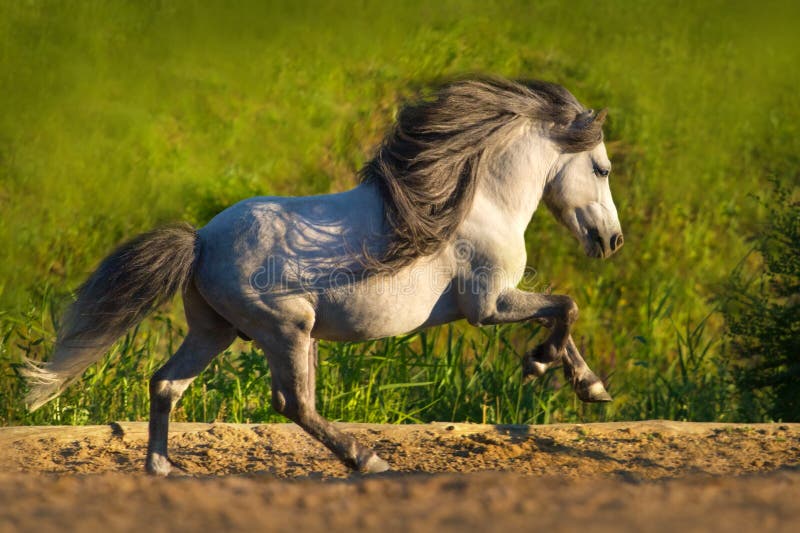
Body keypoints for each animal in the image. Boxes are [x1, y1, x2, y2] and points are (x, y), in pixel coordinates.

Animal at [23, 77, 624, 472]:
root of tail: (201, 241)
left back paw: (162, 471)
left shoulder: (501, 301)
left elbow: (562, 314)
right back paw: (367, 460)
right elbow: (565, 307)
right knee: (294, 404)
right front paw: (544, 364)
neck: (476, 203)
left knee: (167, 383)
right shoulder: (491, 305)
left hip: (217, 331)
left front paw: (586, 385)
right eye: (601, 169)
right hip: (285, 330)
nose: (611, 241)